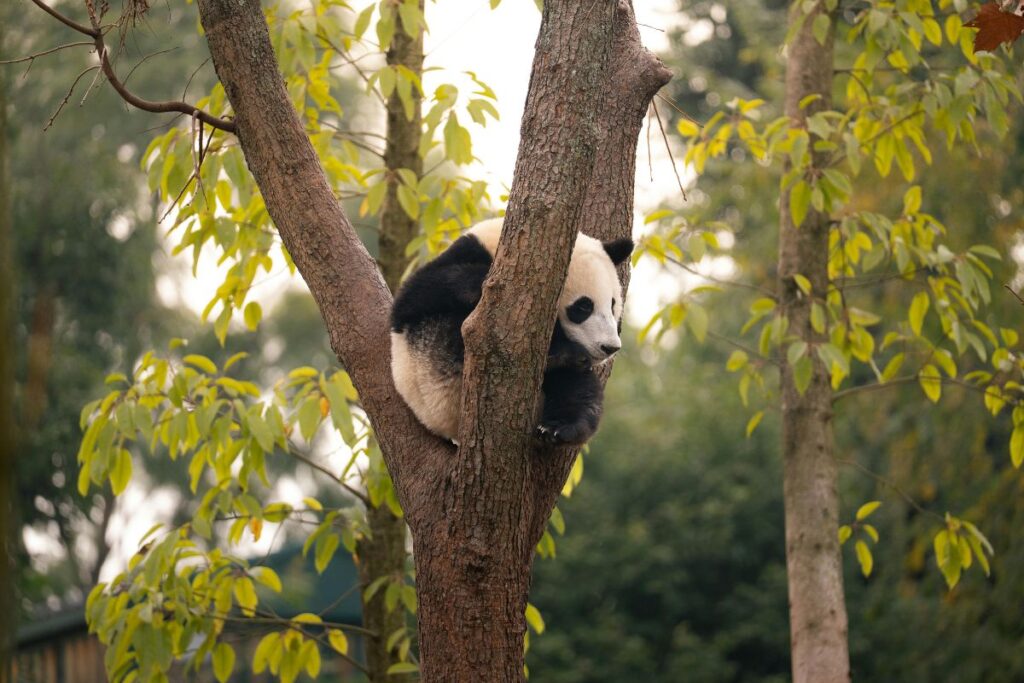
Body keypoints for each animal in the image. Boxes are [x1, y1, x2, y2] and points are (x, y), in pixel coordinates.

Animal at [390, 217, 633, 445]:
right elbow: (414, 296)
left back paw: (560, 427)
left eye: (612, 304)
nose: (610, 347)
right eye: (583, 307)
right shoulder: (462, 254)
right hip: (431, 365)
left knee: (578, 388)